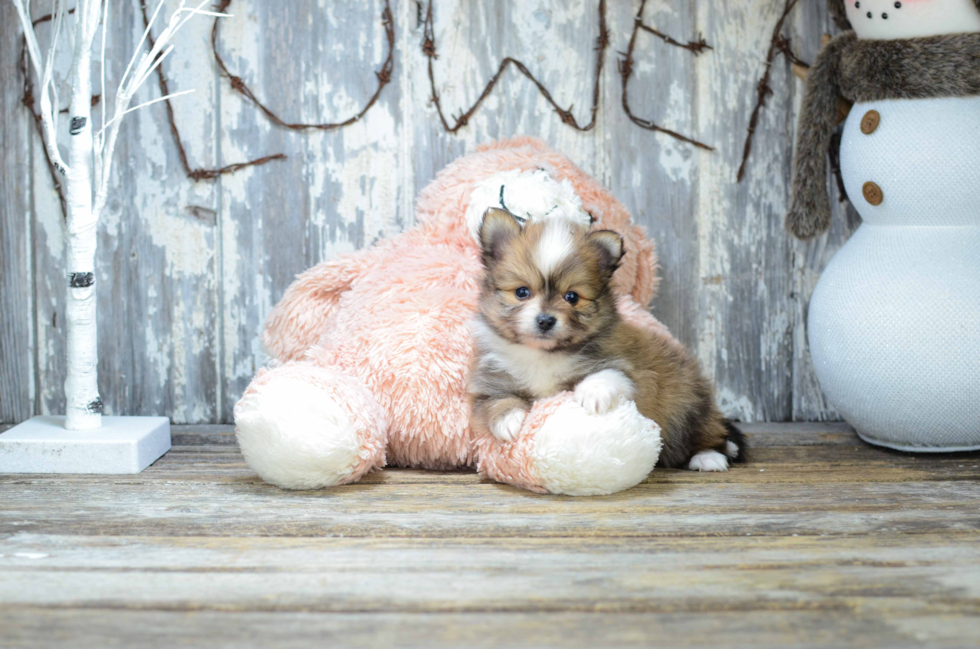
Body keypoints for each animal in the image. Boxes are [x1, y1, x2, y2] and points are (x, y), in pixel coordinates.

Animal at [470, 208, 748, 470]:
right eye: (522, 292)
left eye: (572, 297)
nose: (545, 320)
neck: (544, 354)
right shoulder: (491, 382)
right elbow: (495, 401)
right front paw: (508, 420)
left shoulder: (624, 366)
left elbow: (608, 375)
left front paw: (592, 394)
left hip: (688, 405)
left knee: (708, 434)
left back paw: (709, 457)